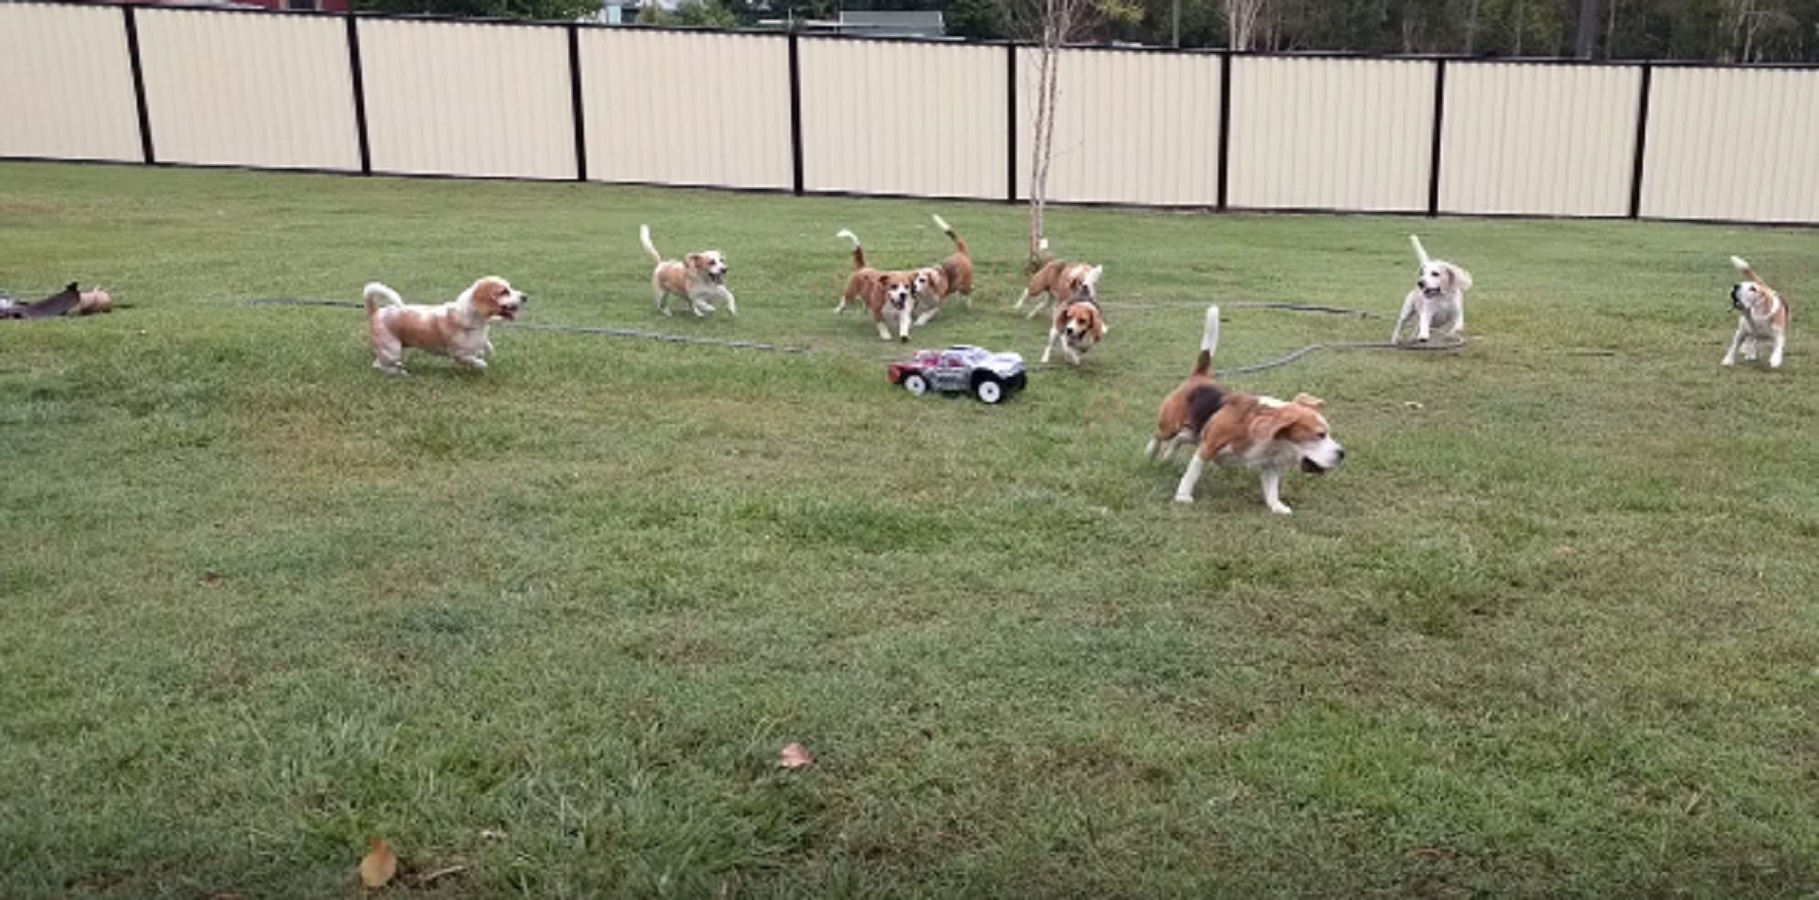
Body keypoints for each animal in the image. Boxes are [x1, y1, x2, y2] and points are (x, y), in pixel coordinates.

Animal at [358, 274, 523, 372]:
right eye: (504, 291)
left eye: (510, 287)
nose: (525, 296)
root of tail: (376, 312)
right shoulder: (458, 354)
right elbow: (475, 361)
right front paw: (481, 364)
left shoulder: (481, 341)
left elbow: (488, 348)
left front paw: (483, 353)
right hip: (393, 350)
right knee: (377, 365)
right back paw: (398, 372)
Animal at [1156, 305, 1346, 516]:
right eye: (1320, 435)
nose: (1342, 453)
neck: (1274, 440)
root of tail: (1200, 377)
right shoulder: (1207, 448)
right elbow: (1192, 474)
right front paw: (1182, 496)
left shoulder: (1270, 465)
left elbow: (1271, 490)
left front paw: (1277, 507)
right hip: (1170, 426)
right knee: (1159, 436)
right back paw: (1150, 454)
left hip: (1195, 434)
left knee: (1180, 438)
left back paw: (1167, 458)